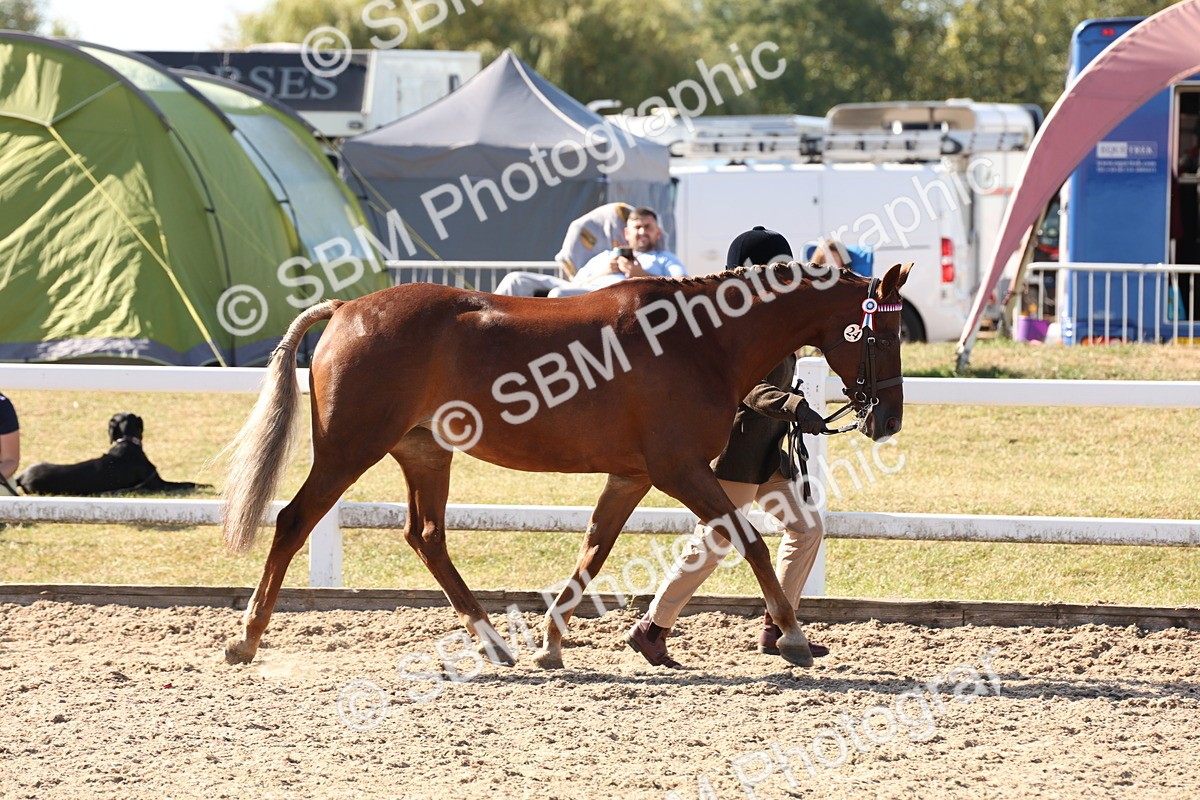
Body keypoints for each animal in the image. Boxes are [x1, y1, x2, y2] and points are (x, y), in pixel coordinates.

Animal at [221, 259, 911, 670]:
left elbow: (592, 553)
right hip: (349, 450)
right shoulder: (678, 469)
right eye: (884, 334)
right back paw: (246, 639)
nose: (888, 421)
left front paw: (553, 643)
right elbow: (751, 544)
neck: (699, 339)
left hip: (424, 452)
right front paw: (792, 636)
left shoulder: (633, 476)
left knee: (427, 537)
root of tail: (345, 308)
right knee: (294, 522)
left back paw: (495, 642)